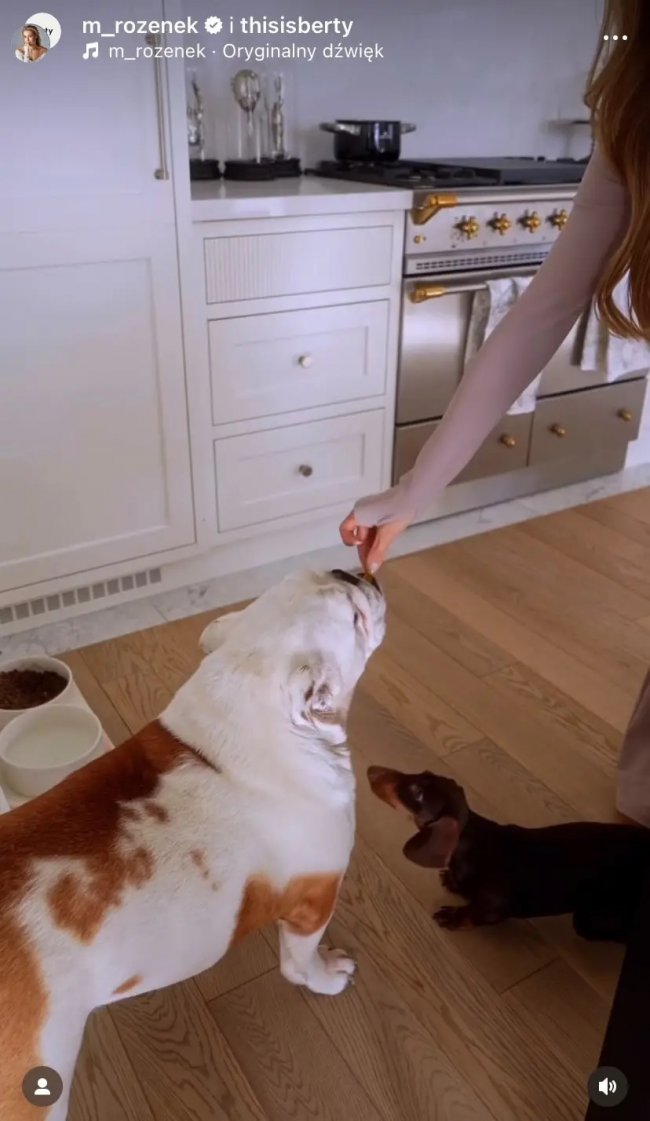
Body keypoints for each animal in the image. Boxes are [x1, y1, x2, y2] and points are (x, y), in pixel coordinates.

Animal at [367, 766, 650, 939]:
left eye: (418, 794)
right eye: (422, 773)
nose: (371, 771)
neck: (472, 842)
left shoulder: (494, 906)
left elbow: (475, 913)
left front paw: (453, 917)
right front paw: (452, 881)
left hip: (589, 918)